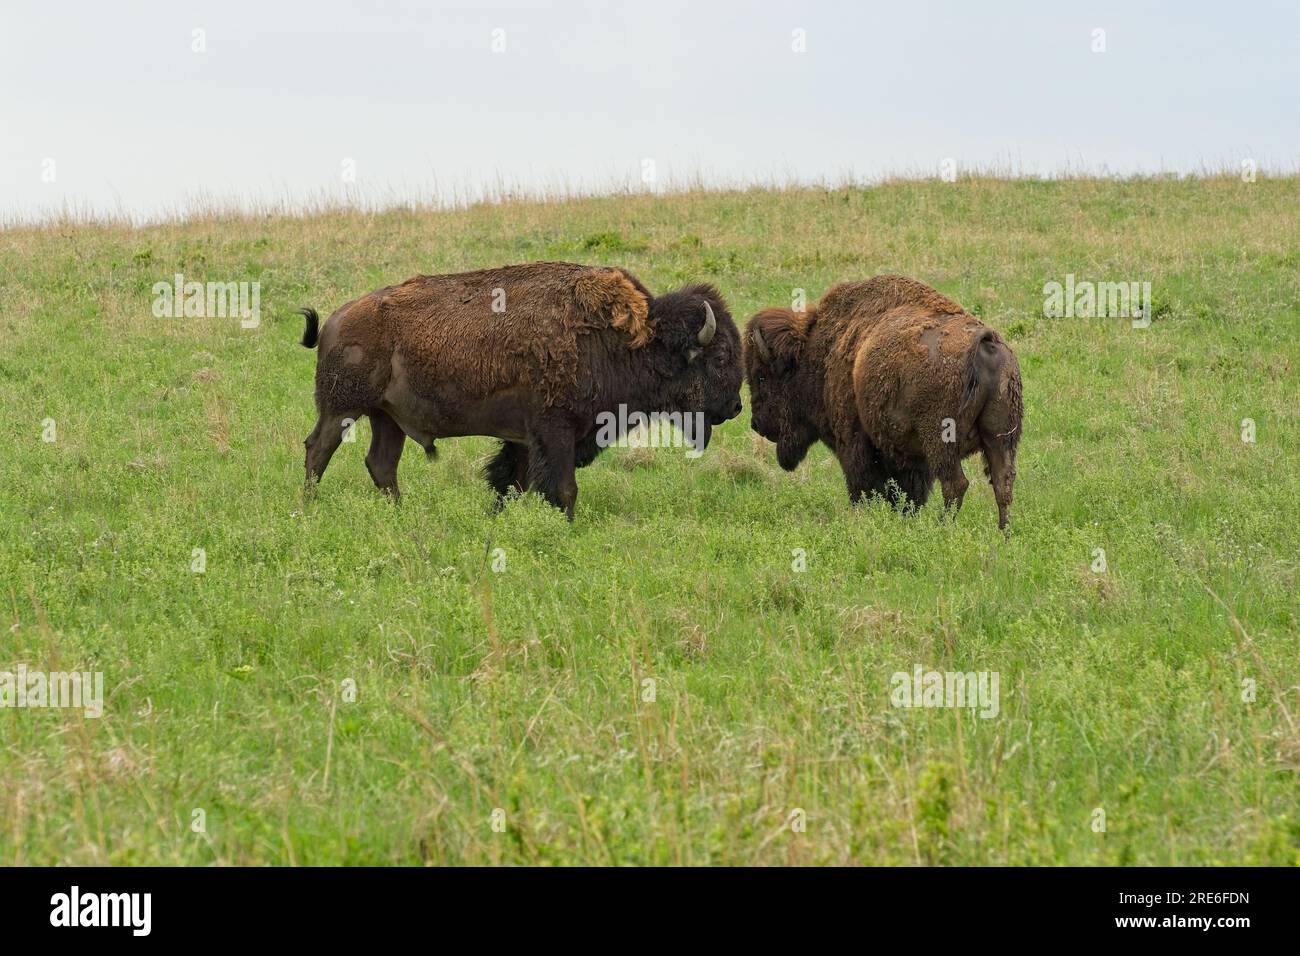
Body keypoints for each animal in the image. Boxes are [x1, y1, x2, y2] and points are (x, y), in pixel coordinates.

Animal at [298, 261, 742, 518]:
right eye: (720, 357)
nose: (736, 407)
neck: (628, 339)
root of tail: (337, 318)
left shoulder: (525, 438)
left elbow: (512, 481)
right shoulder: (555, 430)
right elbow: (563, 488)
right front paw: (566, 524)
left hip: (386, 417)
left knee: (381, 464)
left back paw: (400, 514)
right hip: (343, 408)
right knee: (318, 450)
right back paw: (308, 508)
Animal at [745, 276, 1023, 528]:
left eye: (761, 376)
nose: (756, 423)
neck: (820, 351)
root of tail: (984, 341)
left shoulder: (855, 443)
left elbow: (862, 487)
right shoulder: (910, 457)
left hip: (941, 440)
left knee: (956, 484)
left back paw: (942, 528)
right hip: (1001, 438)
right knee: (1003, 483)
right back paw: (1003, 534)